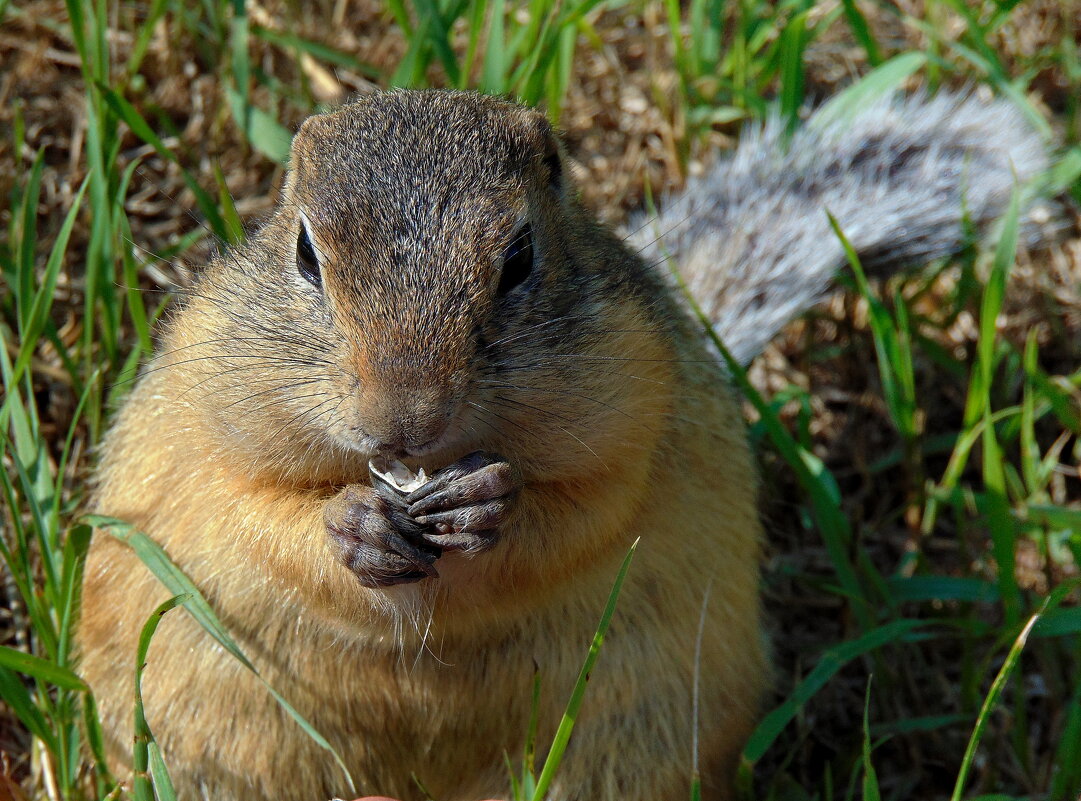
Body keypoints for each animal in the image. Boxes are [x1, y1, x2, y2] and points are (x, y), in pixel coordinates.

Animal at [79, 90, 1050, 795]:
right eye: (306, 255)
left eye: (519, 258)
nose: (407, 418)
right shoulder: (207, 412)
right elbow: (250, 514)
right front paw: (351, 525)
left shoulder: (637, 403)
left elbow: (586, 509)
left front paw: (490, 505)